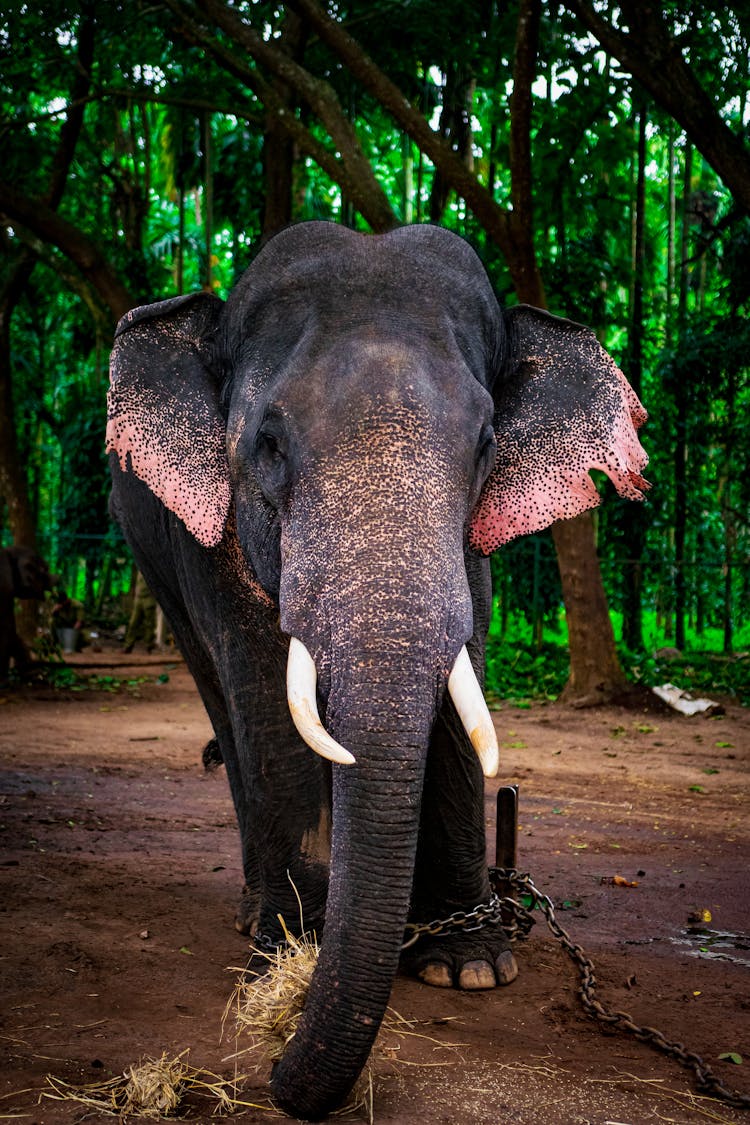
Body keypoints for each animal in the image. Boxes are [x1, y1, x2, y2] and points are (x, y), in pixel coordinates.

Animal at [106, 219, 652, 1116]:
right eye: (267, 443)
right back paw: (260, 918)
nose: (277, 1073)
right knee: (225, 702)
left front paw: (469, 968)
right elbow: (267, 694)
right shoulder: (215, 538)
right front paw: (284, 961)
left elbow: (461, 688)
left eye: (487, 443)